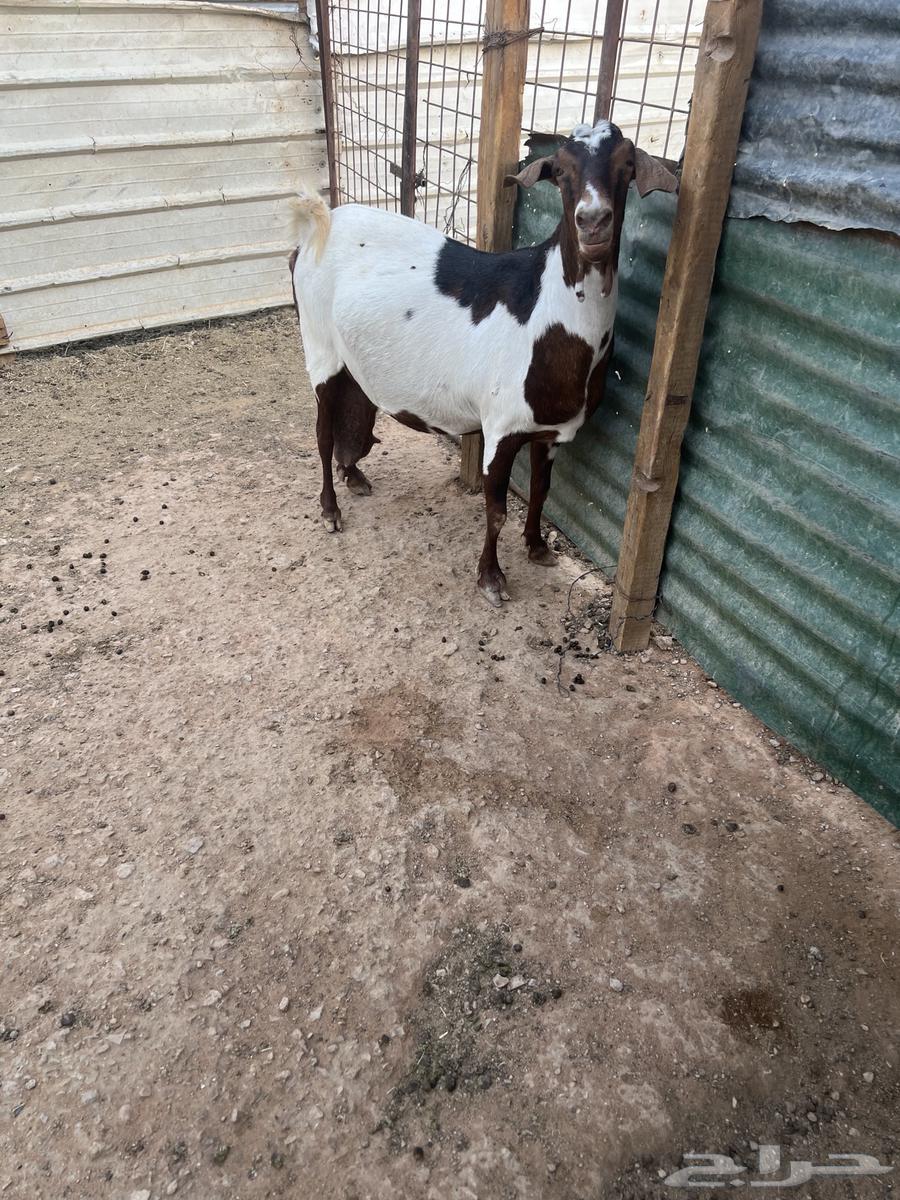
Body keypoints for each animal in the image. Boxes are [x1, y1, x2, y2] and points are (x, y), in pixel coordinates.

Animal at [289, 120, 677, 606]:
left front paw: (537, 547)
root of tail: (316, 229)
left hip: (353, 363)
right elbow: (495, 511)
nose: (592, 221)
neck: (547, 312)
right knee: (322, 433)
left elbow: (542, 490)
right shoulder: (500, 428)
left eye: (627, 165)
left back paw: (354, 475)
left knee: (353, 415)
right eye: (560, 171)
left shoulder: (549, 433)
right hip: (319, 346)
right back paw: (329, 509)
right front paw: (491, 579)